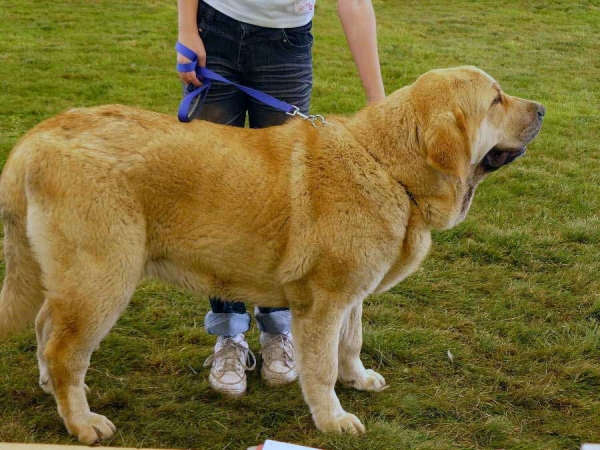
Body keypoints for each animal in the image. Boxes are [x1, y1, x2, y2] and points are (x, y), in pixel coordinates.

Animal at [0, 67, 544, 442]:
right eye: (496, 99)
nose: (541, 109)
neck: (388, 166)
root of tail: (35, 138)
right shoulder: (321, 303)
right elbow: (320, 367)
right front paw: (332, 419)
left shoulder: (350, 297)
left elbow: (350, 343)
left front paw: (356, 378)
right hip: (104, 281)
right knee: (65, 350)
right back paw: (81, 421)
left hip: (75, 281)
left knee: (46, 327)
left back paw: (51, 388)